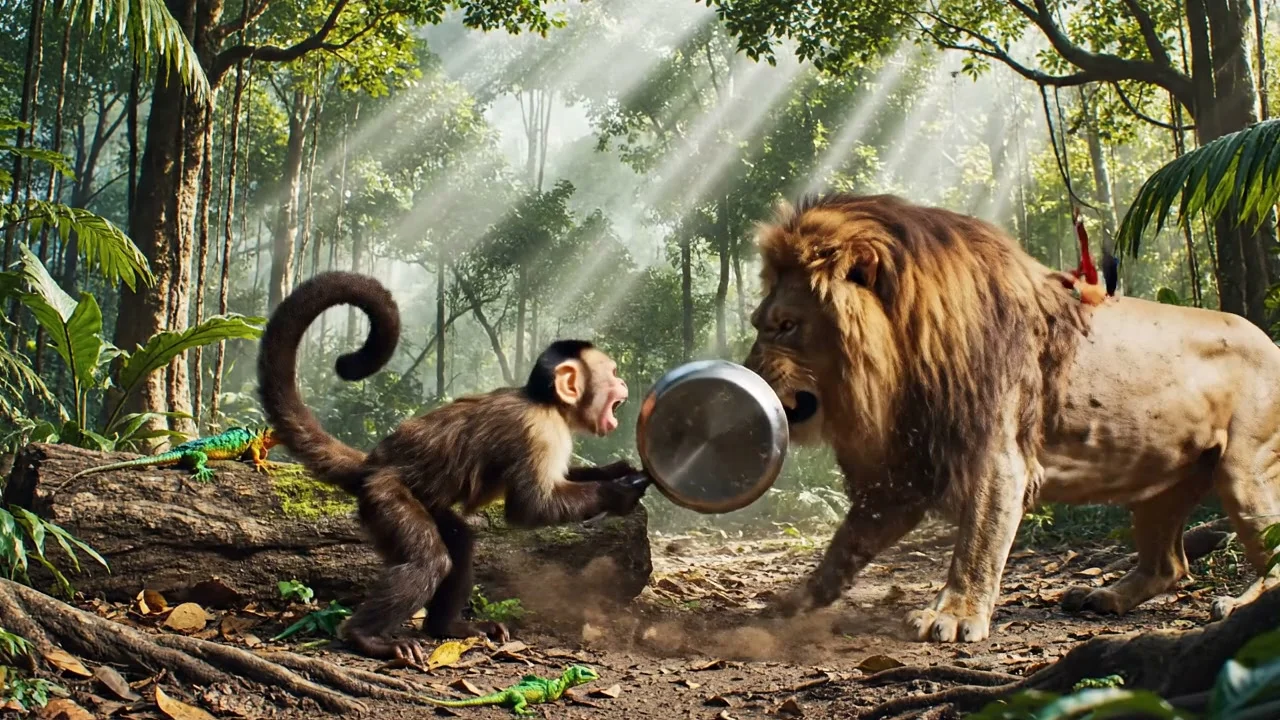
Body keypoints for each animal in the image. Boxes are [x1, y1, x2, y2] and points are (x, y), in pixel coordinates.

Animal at [257, 271, 651, 664]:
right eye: (613, 372)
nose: (623, 381)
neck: (546, 403)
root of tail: (375, 462)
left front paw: (617, 469)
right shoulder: (538, 431)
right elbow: (529, 507)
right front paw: (618, 493)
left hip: (420, 501)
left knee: (460, 543)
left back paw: (446, 627)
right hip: (384, 494)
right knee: (430, 561)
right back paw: (365, 636)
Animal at [744, 192, 1280, 643]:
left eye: (786, 325)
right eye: (757, 323)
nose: (750, 375)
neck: (904, 356)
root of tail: (1269, 338)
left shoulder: (998, 455)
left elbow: (978, 541)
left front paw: (951, 615)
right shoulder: (907, 467)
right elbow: (846, 543)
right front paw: (796, 600)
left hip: (1244, 471)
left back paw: (1239, 605)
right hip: (1162, 482)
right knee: (1169, 565)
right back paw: (1103, 596)